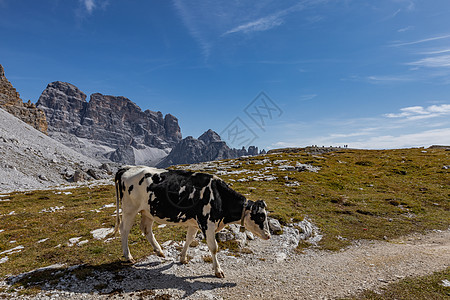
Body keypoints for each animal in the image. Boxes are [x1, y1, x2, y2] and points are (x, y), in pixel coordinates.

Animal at [112, 165, 270, 278]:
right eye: (261, 216)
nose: (268, 235)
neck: (219, 196)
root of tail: (127, 168)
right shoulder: (207, 223)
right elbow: (214, 247)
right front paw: (218, 271)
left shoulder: (195, 223)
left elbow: (189, 238)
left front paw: (183, 258)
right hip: (129, 209)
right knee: (124, 230)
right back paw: (129, 256)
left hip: (149, 211)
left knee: (146, 228)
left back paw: (159, 251)